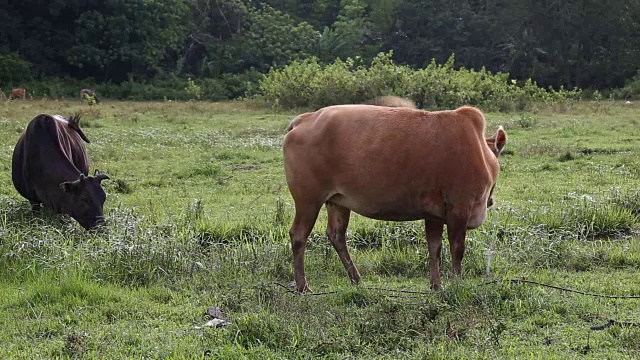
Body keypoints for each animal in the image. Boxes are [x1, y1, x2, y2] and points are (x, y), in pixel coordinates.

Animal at [284, 104, 504, 292]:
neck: (481, 151)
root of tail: (305, 118)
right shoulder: (459, 208)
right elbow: (457, 249)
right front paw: (457, 284)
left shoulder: (434, 214)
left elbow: (434, 248)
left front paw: (436, 285)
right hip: (308, 199)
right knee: (299, 236)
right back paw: (303, 286)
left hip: (337, 201)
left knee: (336, 235)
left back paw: (356, 278)